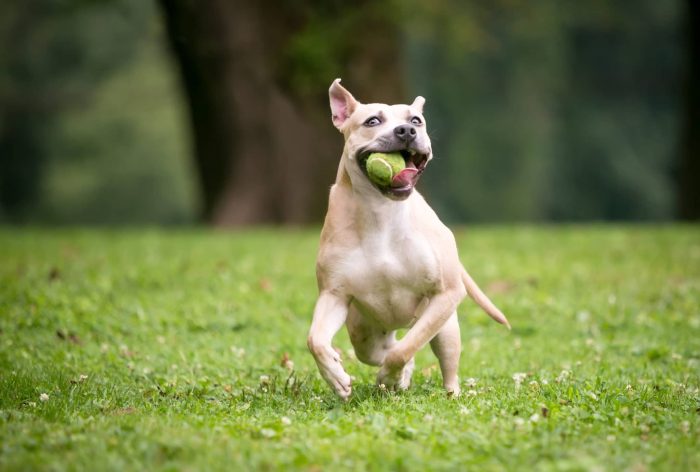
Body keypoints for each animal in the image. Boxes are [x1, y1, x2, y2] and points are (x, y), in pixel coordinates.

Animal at [306, 78, 508, 398]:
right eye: (372, 121)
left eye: (416, 121)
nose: (406, 131)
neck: (381, 213)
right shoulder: (334, 295)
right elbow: (315, 339)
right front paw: (336, 376)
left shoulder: (445, 295)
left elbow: (406, 348)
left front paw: (389, 376)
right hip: (364, 333)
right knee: (381, 349)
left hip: (446, 328)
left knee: (433, 355)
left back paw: (446, 391)